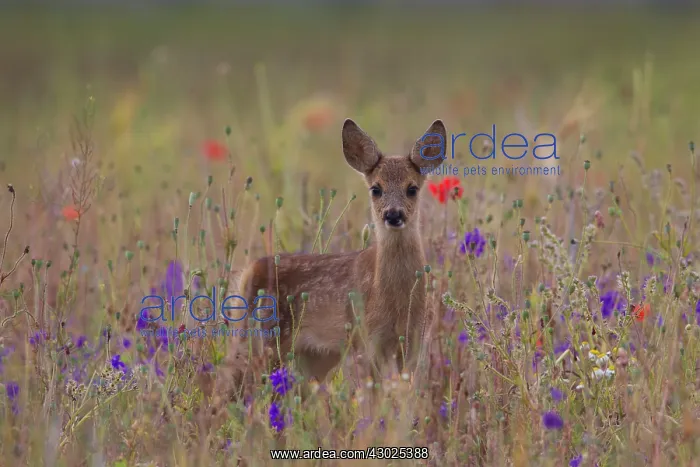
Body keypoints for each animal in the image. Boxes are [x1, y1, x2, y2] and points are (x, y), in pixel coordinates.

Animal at [205, 118, 447, 414]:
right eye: (376, 189)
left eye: (412, 188)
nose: (393, 215)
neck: (394, 300)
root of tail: (248, 272)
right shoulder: (364, 340)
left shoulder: (413, 343)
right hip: (260, 337)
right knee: (230, 384)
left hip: (312, 355)